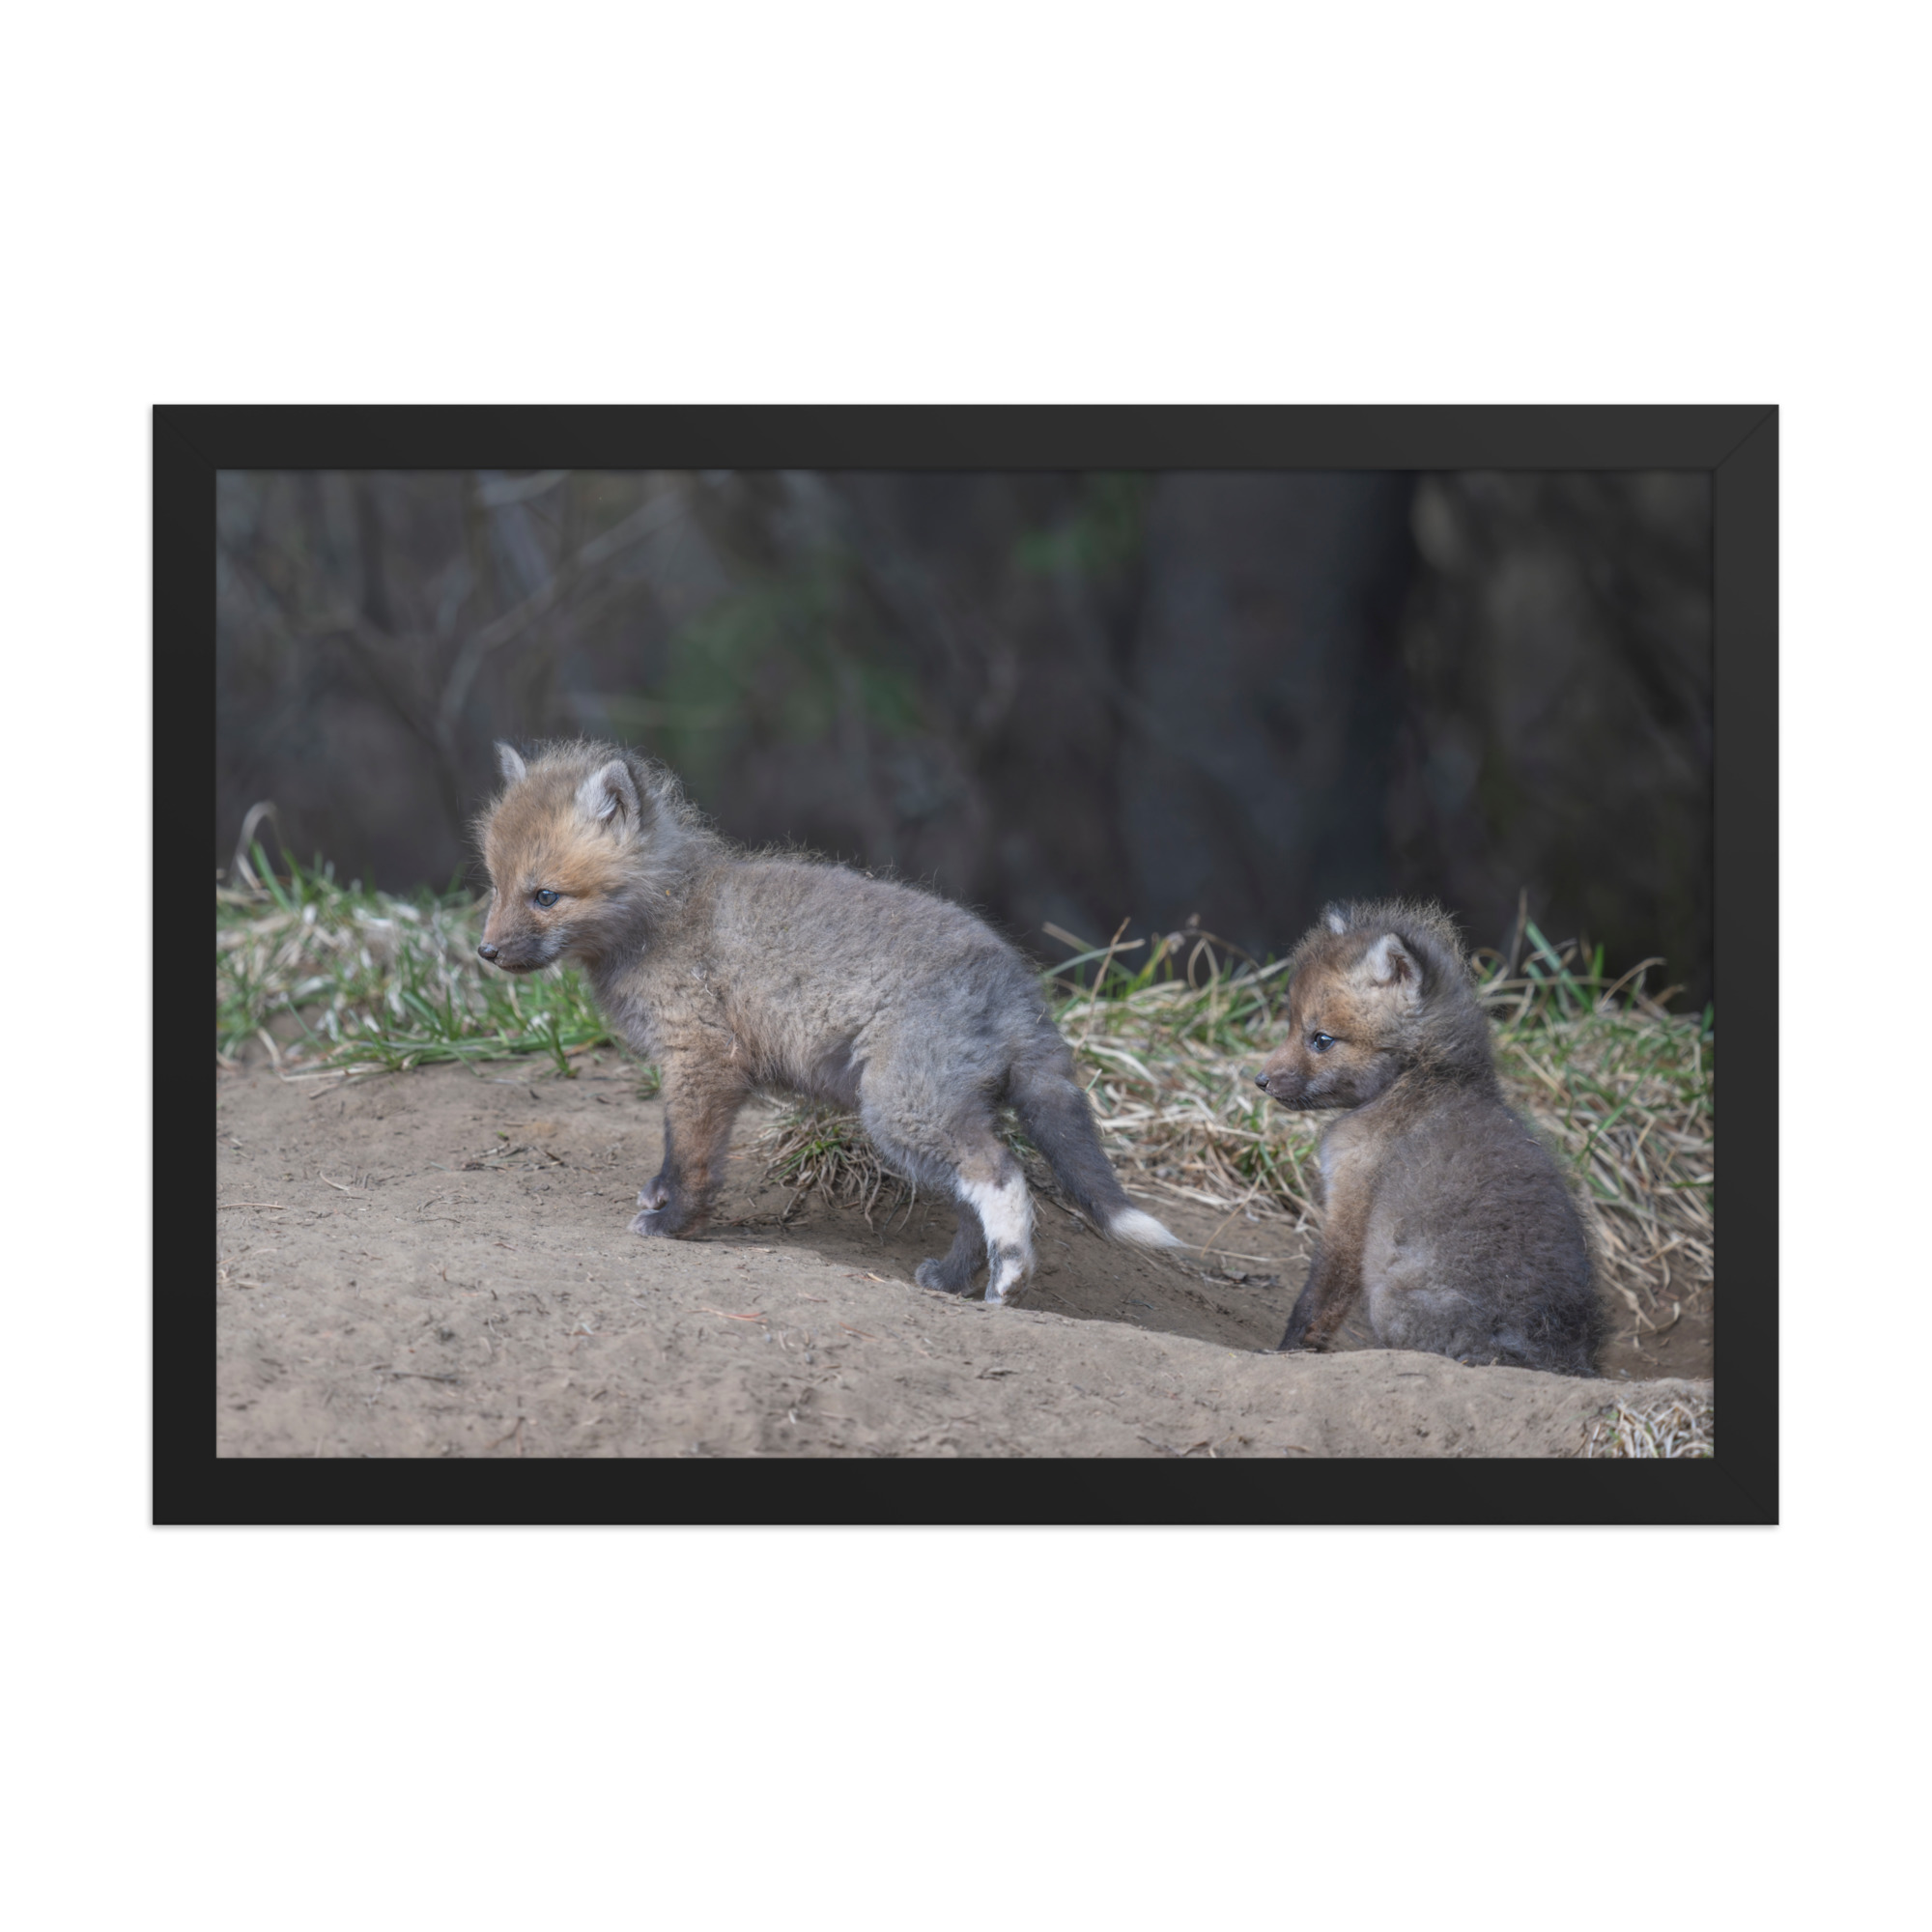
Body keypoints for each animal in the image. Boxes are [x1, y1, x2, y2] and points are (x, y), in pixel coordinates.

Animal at [474, 739, 1184, 1303]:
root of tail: (1017, 982)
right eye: (495, 886)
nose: (485, 953)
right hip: (931, 1118)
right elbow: (676, 1148)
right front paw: (661, 1198)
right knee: (970, 1202)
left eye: (545, 896)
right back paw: (954, 1280)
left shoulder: (703, 1059)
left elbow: (692, 1156)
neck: (665, 914)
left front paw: (675, 1223)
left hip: (901, 1111)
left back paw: (1010, 1277)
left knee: (1001, 1174)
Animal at [1253, 900, 1605, 1376]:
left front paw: (1286, 1353)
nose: (1260, 1081)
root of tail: (1557, 1357)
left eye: (1321, 1039)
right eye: (1292, 1026)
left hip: (1390, 1300)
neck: (1420, 1079)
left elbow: (1317, 1300)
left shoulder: (1351, 1207)